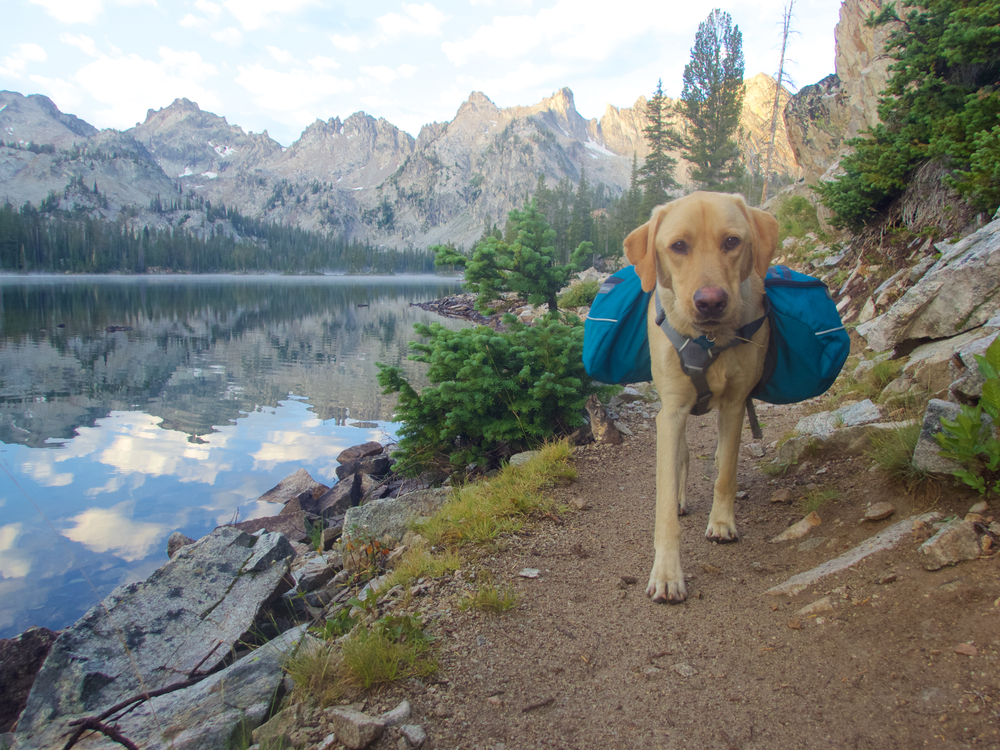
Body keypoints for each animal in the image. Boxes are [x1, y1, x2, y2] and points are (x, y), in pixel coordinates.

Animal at [624, 194, 780, 604]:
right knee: (681, 458)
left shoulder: (735, 404)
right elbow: (663, 504)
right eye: (678, 246)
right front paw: (666, 574)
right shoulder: (672, 412)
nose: (710, 302)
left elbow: (725, 471)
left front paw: (722, 522)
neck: (707, 341)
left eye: (732, 241)